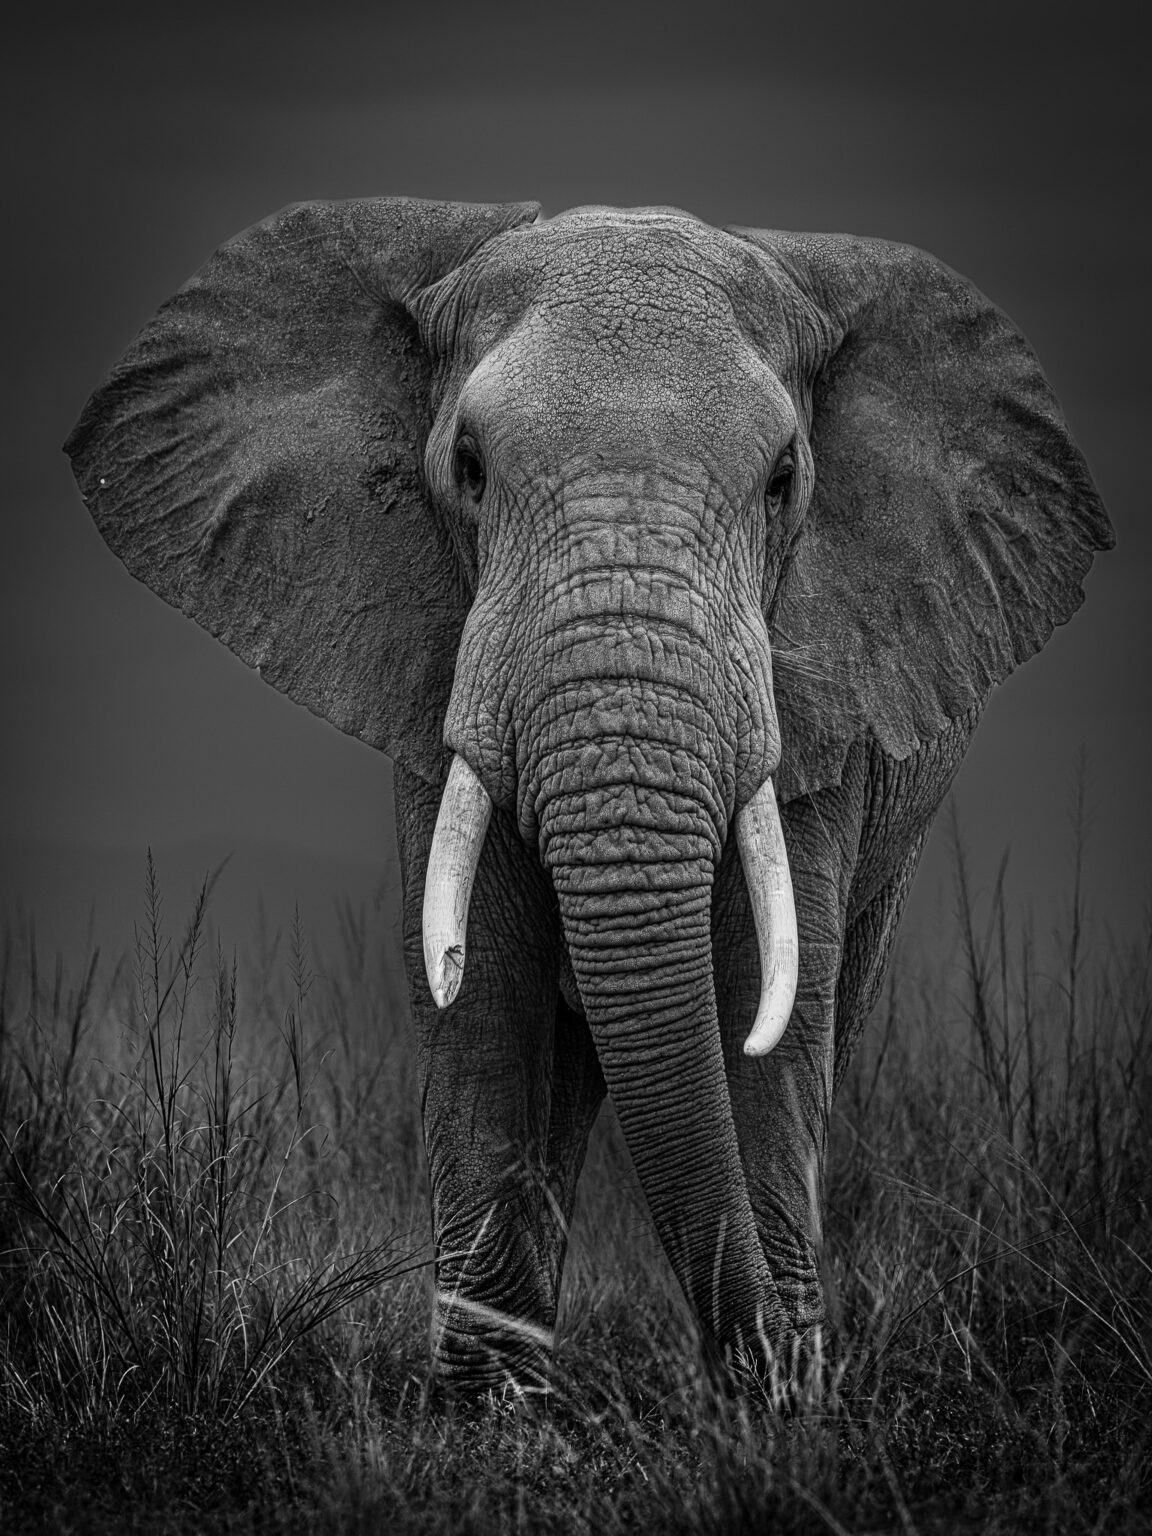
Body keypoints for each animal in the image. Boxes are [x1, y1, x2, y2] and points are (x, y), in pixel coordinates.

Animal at [66, 198, 1111, 1393]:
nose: (754, 1365)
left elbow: (766, 1012)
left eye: (783, 481)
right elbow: (486, 999)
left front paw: (777, 1409)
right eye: (468, 467)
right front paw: (489, 1419)